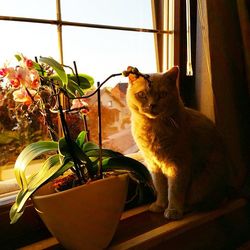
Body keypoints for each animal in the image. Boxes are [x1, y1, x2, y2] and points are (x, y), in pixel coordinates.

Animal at [125, 66, 230, 219]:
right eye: (142, 94)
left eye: (163, 94)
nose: (152, 105)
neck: (153, 128)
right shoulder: (154, 165)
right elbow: (161, 188)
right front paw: (160, 205)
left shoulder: (178, 165)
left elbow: (174, 191)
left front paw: (173, 210)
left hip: (202, 183)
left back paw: (186, 208)